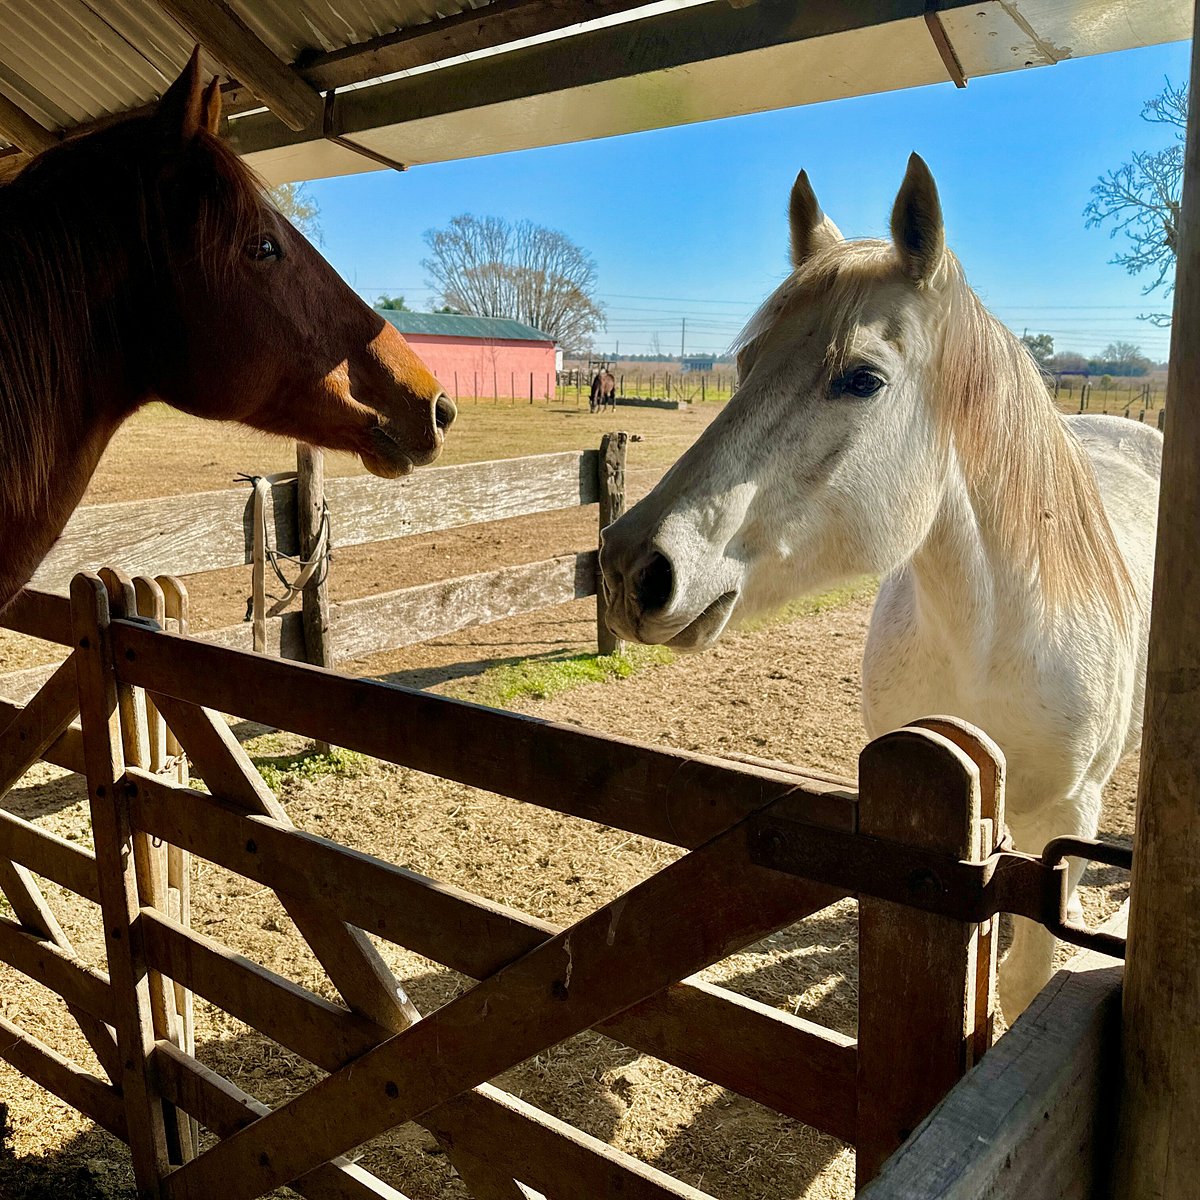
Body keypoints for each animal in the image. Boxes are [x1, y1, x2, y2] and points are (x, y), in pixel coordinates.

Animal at [598, 154, 1160, 1022]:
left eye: (861, 379)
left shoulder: (1066, 818)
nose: (634, 569)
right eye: (746, 365)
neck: (984, 643)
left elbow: (1027, 981)